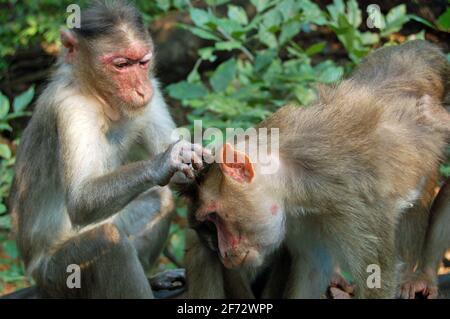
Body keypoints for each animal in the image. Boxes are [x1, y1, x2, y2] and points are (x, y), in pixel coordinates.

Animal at [9, 1, 207, 298]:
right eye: (121, 65)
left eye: (143, 62)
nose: (141, 89)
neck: (101, 98)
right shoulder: (71, 107)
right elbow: (80, 200)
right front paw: (167, 160)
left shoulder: (153, 91)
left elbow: (180, 180)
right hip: (56, 277)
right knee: (104, 240)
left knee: (157, 199)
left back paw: (153, 280)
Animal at [181, 40, 450, 300]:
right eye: (209, 223)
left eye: (214, 217)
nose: (225, 255)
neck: (295, 179)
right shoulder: (302, 219)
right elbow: (312, 269)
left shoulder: (355, 206)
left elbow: (377, 278)